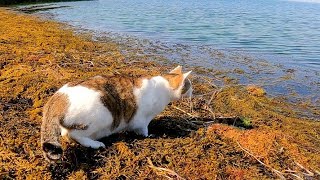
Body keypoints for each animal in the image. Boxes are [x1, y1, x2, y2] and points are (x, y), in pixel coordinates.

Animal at [41, 65, 192, 162]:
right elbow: (143, 130)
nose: (193, 91)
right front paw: (149, 136)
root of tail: (57, 99)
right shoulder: (142, 120)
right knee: (72, 135)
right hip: (103, 116)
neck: (164, 85)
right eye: (189, 85)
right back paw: (95, 144)